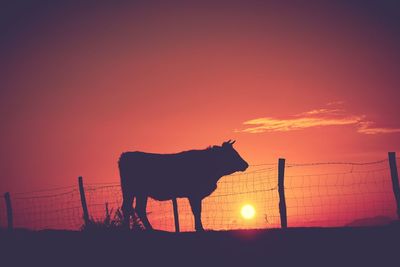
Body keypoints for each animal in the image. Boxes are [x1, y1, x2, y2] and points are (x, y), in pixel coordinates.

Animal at [119, 140, 248, 232]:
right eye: (232, 154)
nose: (246, 164)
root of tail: (125, 155)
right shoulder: (194, 194)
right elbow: (196, 211)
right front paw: (200, 228)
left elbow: (197, 211)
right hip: (132, 190)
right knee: (129, 208)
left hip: (139, 192)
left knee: (135, 208)